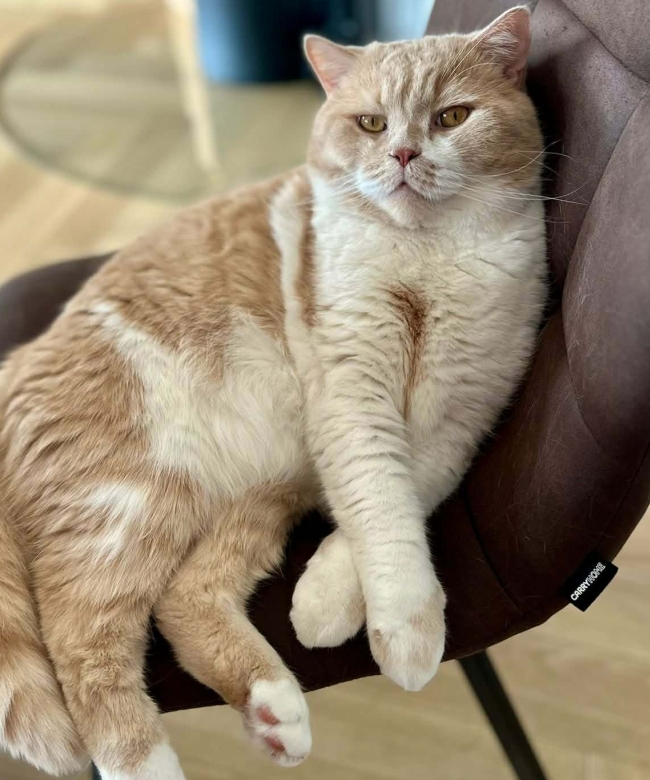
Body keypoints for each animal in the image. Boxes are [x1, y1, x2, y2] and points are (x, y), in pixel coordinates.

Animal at [0, 7, 546, 779]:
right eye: (372, 123)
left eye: (452, 116)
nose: (404, 154)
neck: (423, 259)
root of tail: (16, 365)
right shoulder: (353, 396)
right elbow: (381, 510)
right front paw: (406, 629)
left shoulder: (457, 417)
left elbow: (394, 506)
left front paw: (330, 605)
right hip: (132, 498)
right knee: (83, 638)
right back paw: (149, 761)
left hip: (255, 492)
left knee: (183, 598)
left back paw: (273, 708)